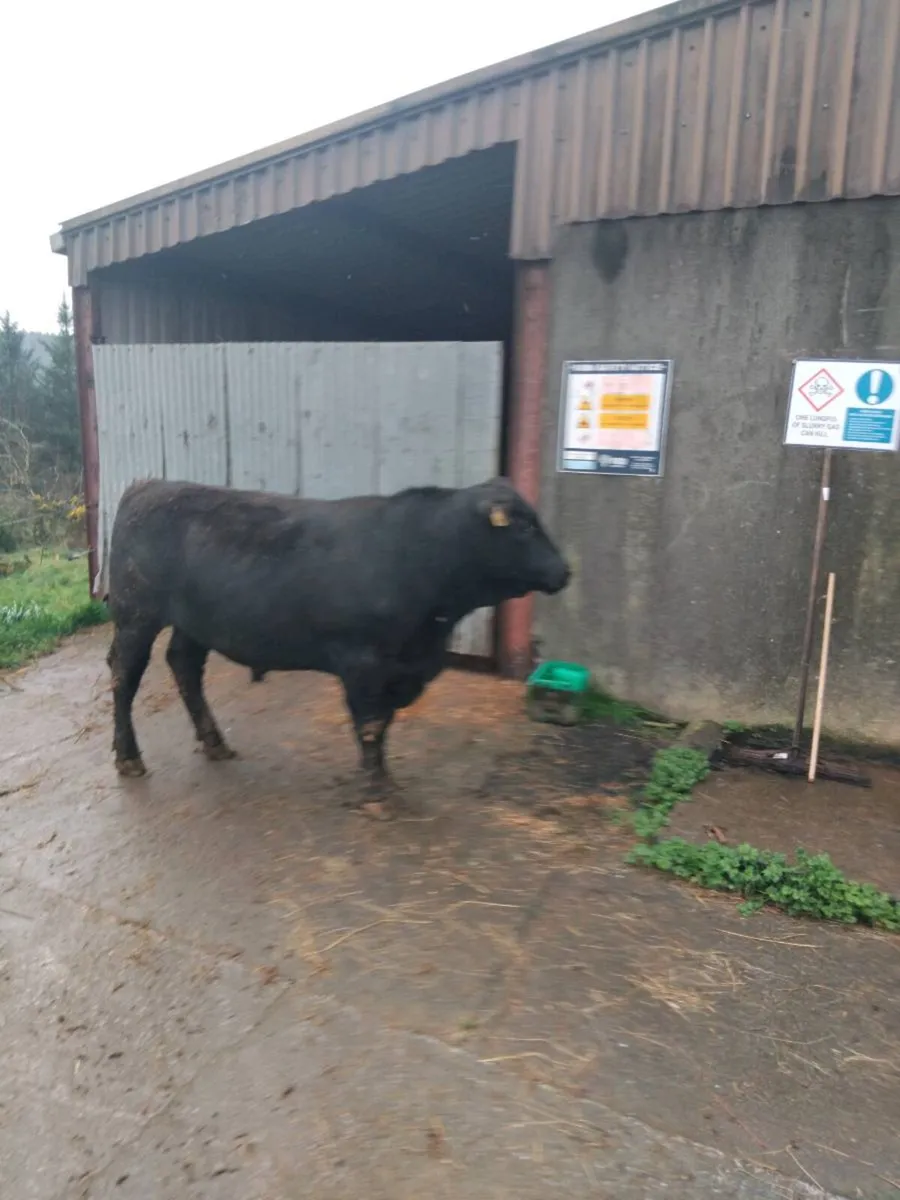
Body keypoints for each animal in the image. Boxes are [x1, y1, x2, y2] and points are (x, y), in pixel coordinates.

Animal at [105, 476, 570, 803]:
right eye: (524, 527)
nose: (564, 571)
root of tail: (148, 486)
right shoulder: (363, 663)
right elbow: (370, 724)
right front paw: (377, 791)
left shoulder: (401, 666)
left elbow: (382, 724)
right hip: (136, 616)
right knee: (123, 676)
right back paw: (129, 757)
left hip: (194, 623)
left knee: (184, 665)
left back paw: (215, 743)